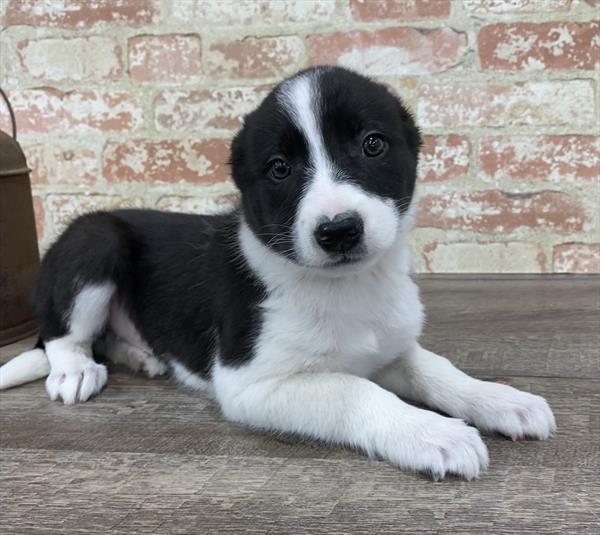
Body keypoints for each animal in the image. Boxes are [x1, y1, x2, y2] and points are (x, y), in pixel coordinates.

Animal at [0, 67, 556, 482]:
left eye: (373, 144)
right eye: (280, 168)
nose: (339, 231)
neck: (345, 287)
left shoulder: (389, 346)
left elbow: (436, 368)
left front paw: (502, 399)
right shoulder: (251, 383)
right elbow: (352, 389)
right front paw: (433, 433)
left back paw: (142, 355)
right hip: (96, 241)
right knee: (63, 336)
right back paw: (76, 369)